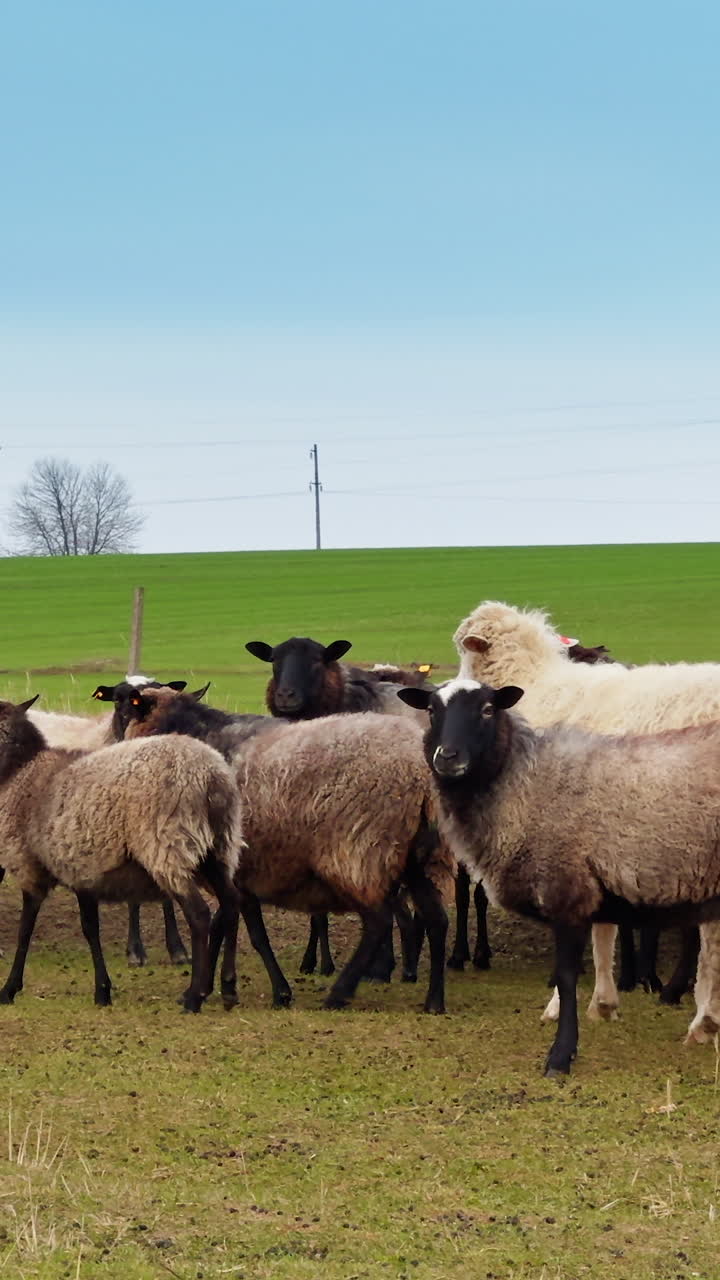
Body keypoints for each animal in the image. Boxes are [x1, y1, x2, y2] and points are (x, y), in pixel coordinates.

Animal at [0, 695, 242, 1012]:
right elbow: (90, 928)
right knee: (231, 905)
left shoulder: (29, 865)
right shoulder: (81, 867)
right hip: (219, 847)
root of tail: (211, 777)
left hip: (167, 845)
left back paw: (194, 996)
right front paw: (102, 990)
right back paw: (228, 988)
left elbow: (25, 929)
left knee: (199, 915)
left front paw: (9, 989)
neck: (20, 770)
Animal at [123, 687, 453, 1015]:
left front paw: (275, 992)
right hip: (416, 857)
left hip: (359, 849)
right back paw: (434, 1001)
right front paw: (214, 988)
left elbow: (253, 935)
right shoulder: (240, 875)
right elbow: (224, 926)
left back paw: (339, 994)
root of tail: (419, 772)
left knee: (378, 922)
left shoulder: (238, 873)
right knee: (436, 919)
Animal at [398, 677, 720, 1075]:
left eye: (488, 709)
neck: (524, 784)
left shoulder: (568, 892)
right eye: (431, 710)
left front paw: (560, 1055)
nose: (448, 757)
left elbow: (567, 979)